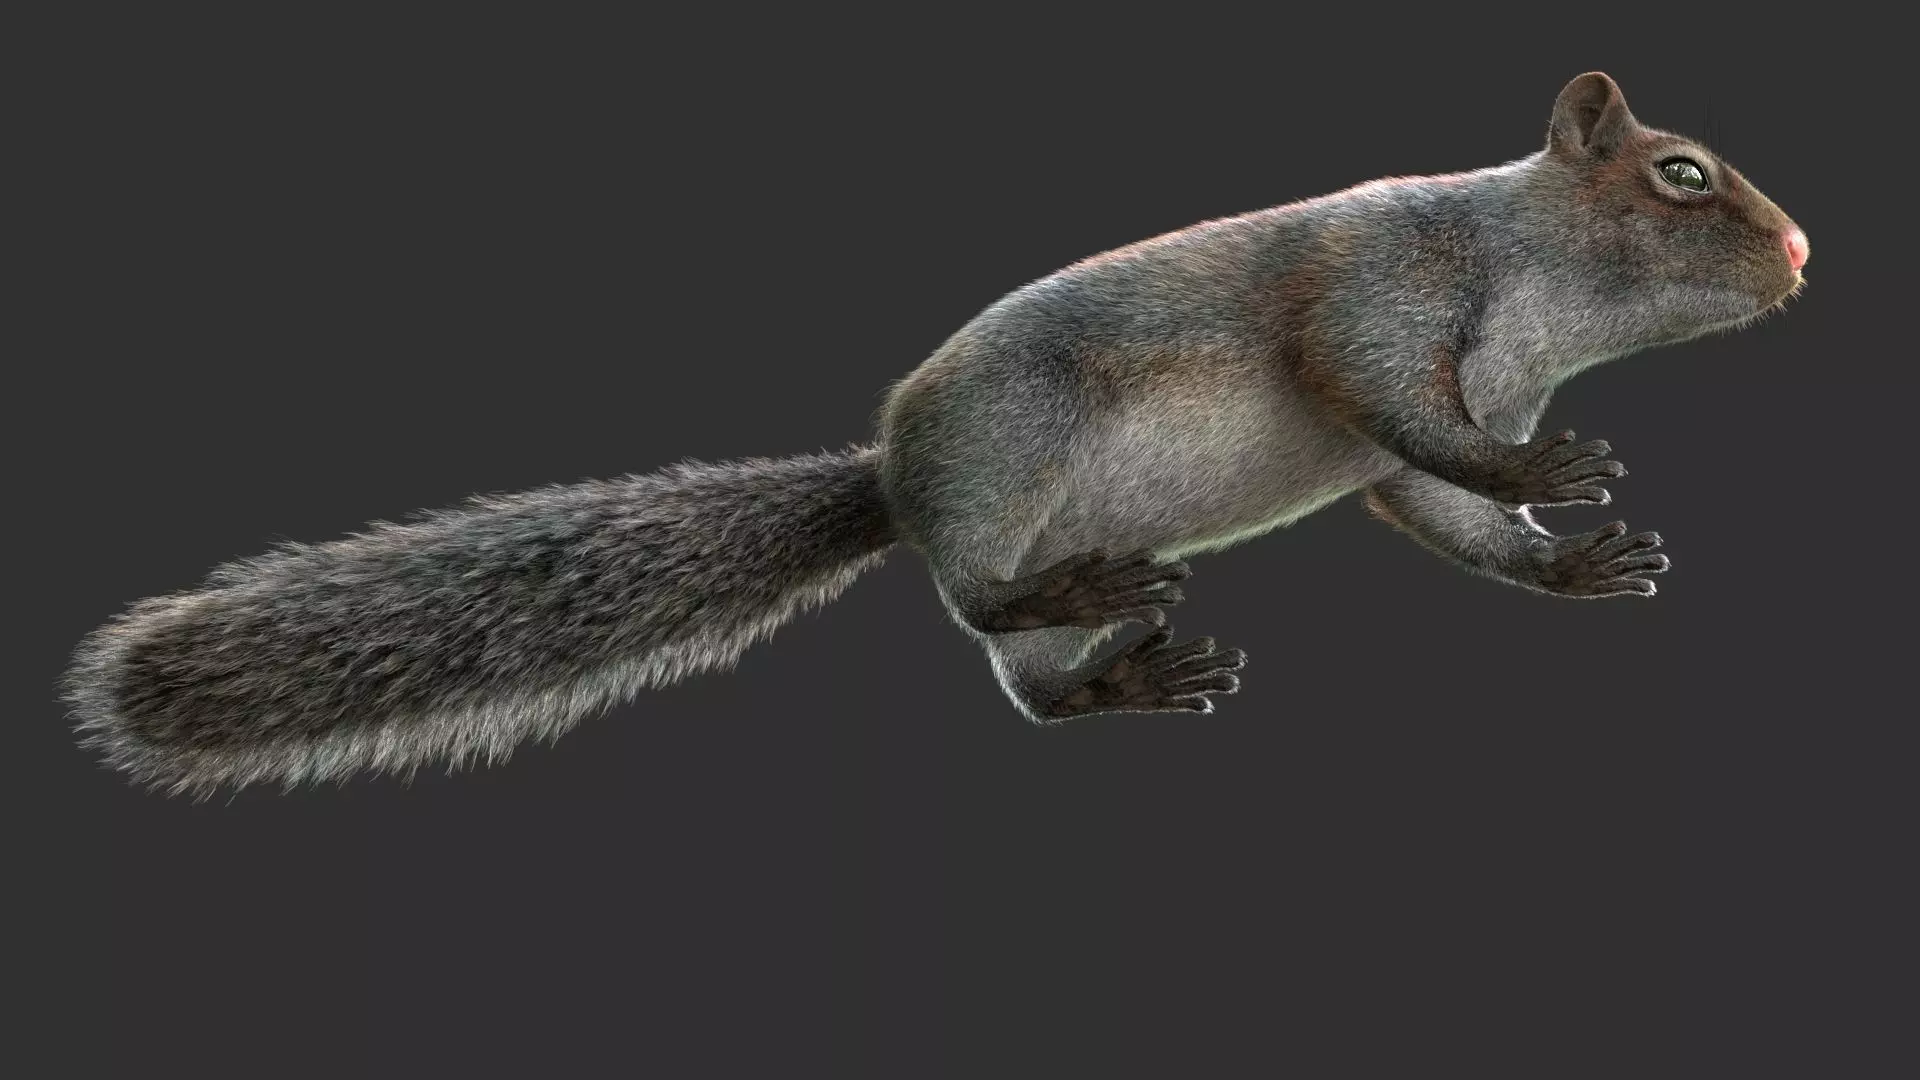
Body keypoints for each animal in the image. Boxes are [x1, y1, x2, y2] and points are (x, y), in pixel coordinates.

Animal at [63, 73, 1808, 794]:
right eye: (1680, 177)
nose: (1803, 254)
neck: (1535, 286)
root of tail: (890, 482)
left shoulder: (1448, 405)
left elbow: (1427, 507)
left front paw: (1571, 561)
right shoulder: (1380, 292)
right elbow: (1384, 400)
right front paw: (1545, 476)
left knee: (1032, 693)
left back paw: (1128, 669)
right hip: (1012, 458)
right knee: (976, 599)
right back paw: (1077, 598)